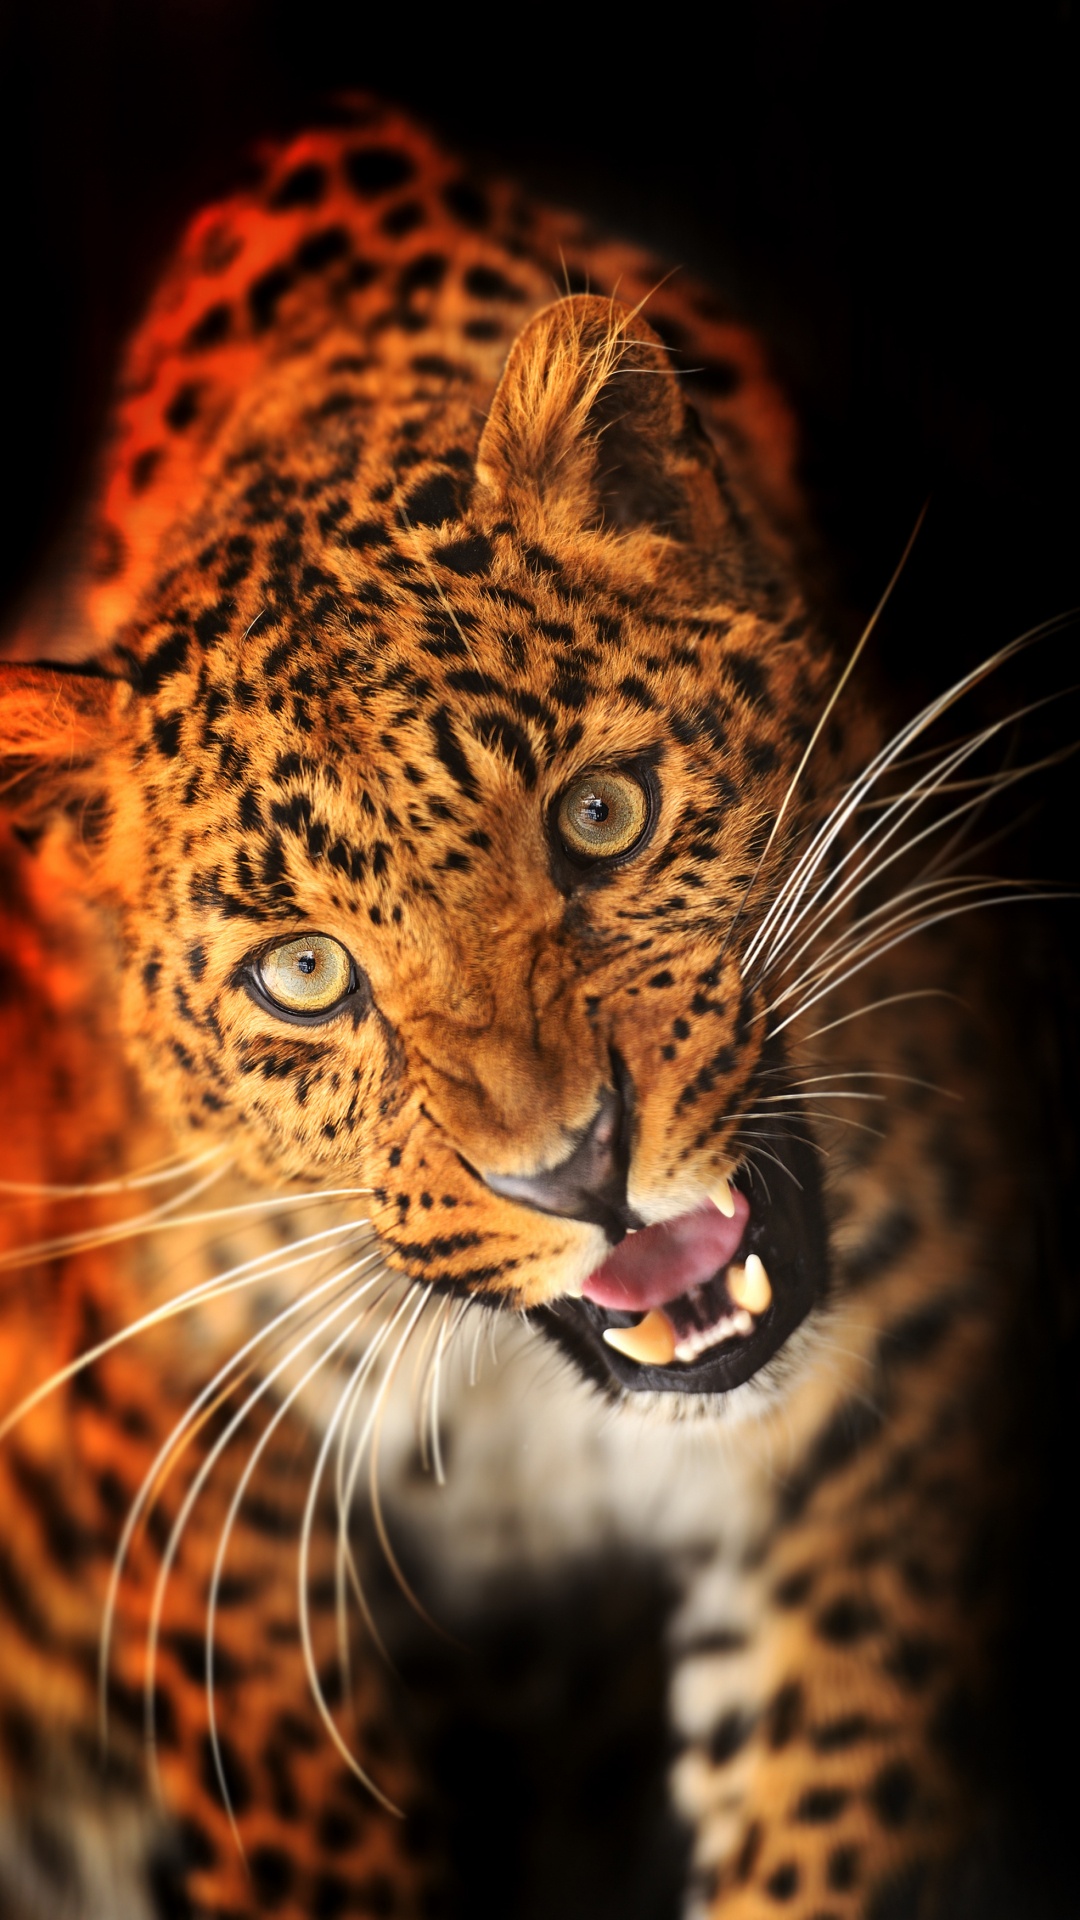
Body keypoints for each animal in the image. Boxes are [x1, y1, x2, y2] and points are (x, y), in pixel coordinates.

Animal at [0, 93, 1062, 1920]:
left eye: (601, 818)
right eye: (305, 974)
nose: (580, 1171)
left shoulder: (906, 1354)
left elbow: (829, 1795)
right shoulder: (187, 1471)